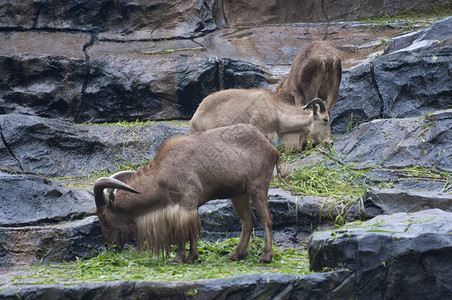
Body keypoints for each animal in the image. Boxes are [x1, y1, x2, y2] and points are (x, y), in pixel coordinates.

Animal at [93, 123, 278, 264]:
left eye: (102, 216)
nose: (109, 245)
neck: (161, 174)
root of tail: (271, 148)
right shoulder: (178, 207)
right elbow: (182, 229)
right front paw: (184, 257)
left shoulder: (188, 200)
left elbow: (187, 228)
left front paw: (185, 257)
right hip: (239, 194)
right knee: (248, 220)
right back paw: (236, 255)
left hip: (258, 187)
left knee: (266, 218)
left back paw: (266, 256)